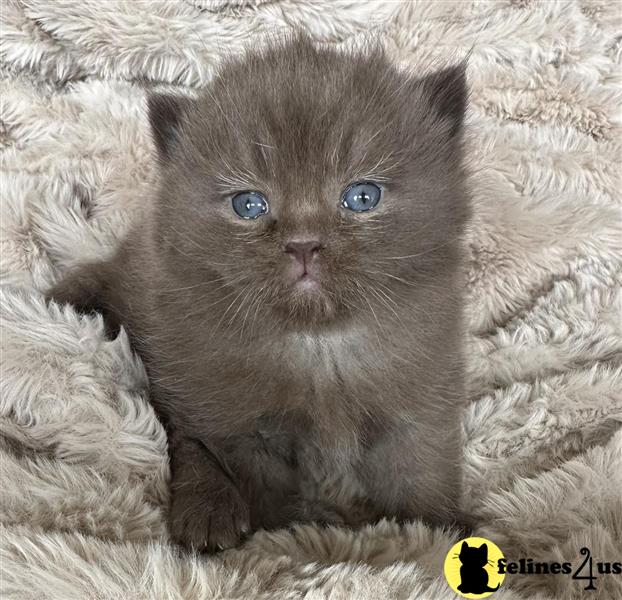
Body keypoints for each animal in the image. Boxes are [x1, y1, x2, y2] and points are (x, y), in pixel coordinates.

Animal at [46, 35, 472, 552]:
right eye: (249, 205)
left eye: (362, 197)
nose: (303, 244)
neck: (318, 345)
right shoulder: (238, 429)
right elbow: (259, 490)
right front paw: (286, 534)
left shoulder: (418, 409)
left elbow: (421, 477)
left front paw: (438, 531)